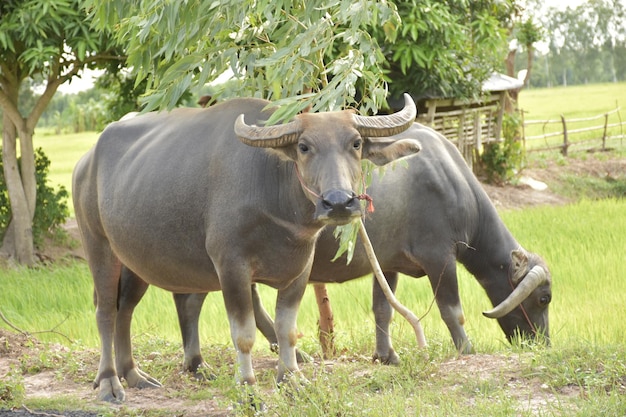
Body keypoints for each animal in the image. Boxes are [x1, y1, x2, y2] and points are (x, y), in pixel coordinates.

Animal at [72, 94, 420, 400]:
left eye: (356, 143)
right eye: (304, 147)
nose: (337, 202)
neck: (274, 196)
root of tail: (84, 164)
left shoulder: (300, 270)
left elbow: (286, 328)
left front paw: (291, 379)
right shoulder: (231, 266)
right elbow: (243, 334)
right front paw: (248, 387)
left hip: (134, 261)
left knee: (127, 309)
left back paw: (133, 374)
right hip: (98, 245)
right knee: (106, 310)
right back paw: (109, 382)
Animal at [114, 120, 548, 374]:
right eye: (543, 298)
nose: (540, 343)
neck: (450, 180)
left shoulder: (388, 264)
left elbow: (382, 310)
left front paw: (386, 355)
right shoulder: (440, 256)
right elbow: (451, 310)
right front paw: (467, 350)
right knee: (194, 302)